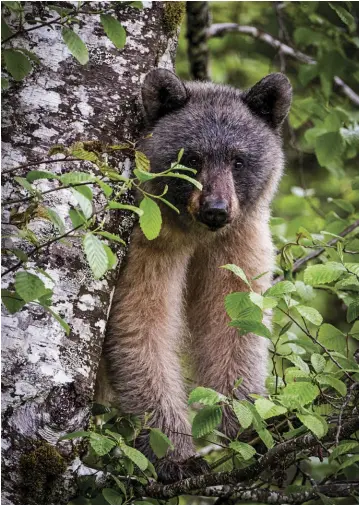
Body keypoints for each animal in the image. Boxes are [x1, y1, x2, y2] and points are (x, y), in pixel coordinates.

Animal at [97, 68, 294, 480]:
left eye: (238, 160)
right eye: (192, 158)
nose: (215, 208)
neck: (196, 234)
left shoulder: (239, 242)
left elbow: (236, 323)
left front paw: (247, 426)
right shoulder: (147, 241)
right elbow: (141, 324)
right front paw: (174, 453)